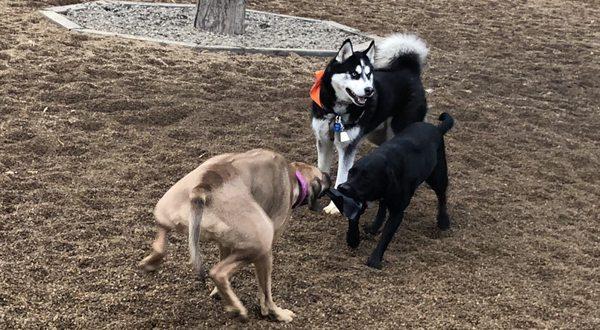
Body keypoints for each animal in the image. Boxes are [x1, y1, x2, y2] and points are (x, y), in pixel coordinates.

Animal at [139, 149, 330, 322]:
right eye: (322, 177)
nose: (328, 175)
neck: (293, 176)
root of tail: (202, 188)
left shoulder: (225, 244)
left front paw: (218, 294)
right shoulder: (265, 252)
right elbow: (264, 292)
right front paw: (267, 311)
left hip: (166, 207)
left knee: (161, 238)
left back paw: (151, 262)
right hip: (262, 243)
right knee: (220, 273)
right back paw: (265, 312)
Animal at [312, 33, 428, 214]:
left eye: (369, 74)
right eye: (354, 73)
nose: (369, 90)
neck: (336, 113)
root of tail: (410, 70)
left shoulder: (348, 147)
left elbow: (341, 176)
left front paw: (335, 207)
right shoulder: (323, 141)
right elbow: (322, 169)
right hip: (379, 135)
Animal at [328, 113, 454, 268]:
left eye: (366, 177)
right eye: (350, 172)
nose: (342, 187)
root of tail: (437, 128)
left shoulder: (397, 212)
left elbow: (385, 237)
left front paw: (374, 260)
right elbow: (355, 219)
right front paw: (353, 239)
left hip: (437, 177)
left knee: (442, 196)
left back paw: (443, 221)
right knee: (382, 207)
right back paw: (374, 227)